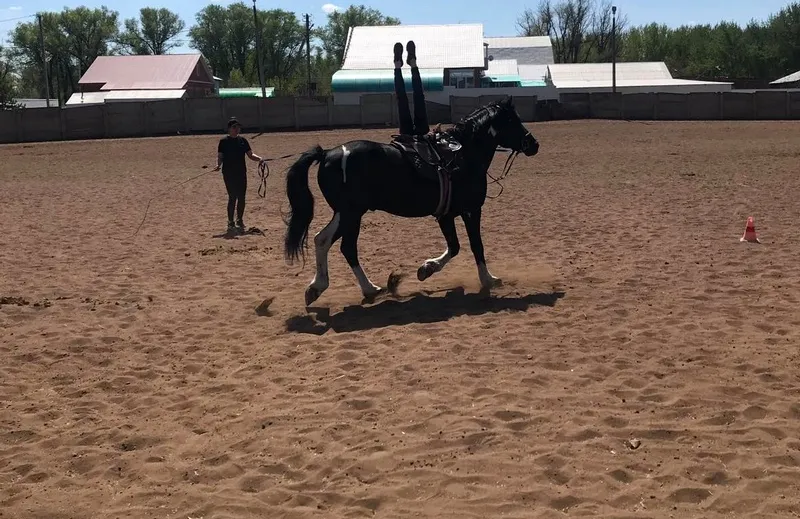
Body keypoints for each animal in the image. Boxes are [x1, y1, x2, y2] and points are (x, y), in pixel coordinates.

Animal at [284, 96, 540, 306]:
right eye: (513, 120)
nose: (534, 144)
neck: (463, 155)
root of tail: (327, 153)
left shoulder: (446, 215)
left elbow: (454, 246)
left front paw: (426, 269)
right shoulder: (471, 210)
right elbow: (476, 245)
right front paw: (488, 279)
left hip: (348, 215)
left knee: (336, 245)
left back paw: (357, 288)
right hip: (350, 214)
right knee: (332, 243)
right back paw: (332, 287)